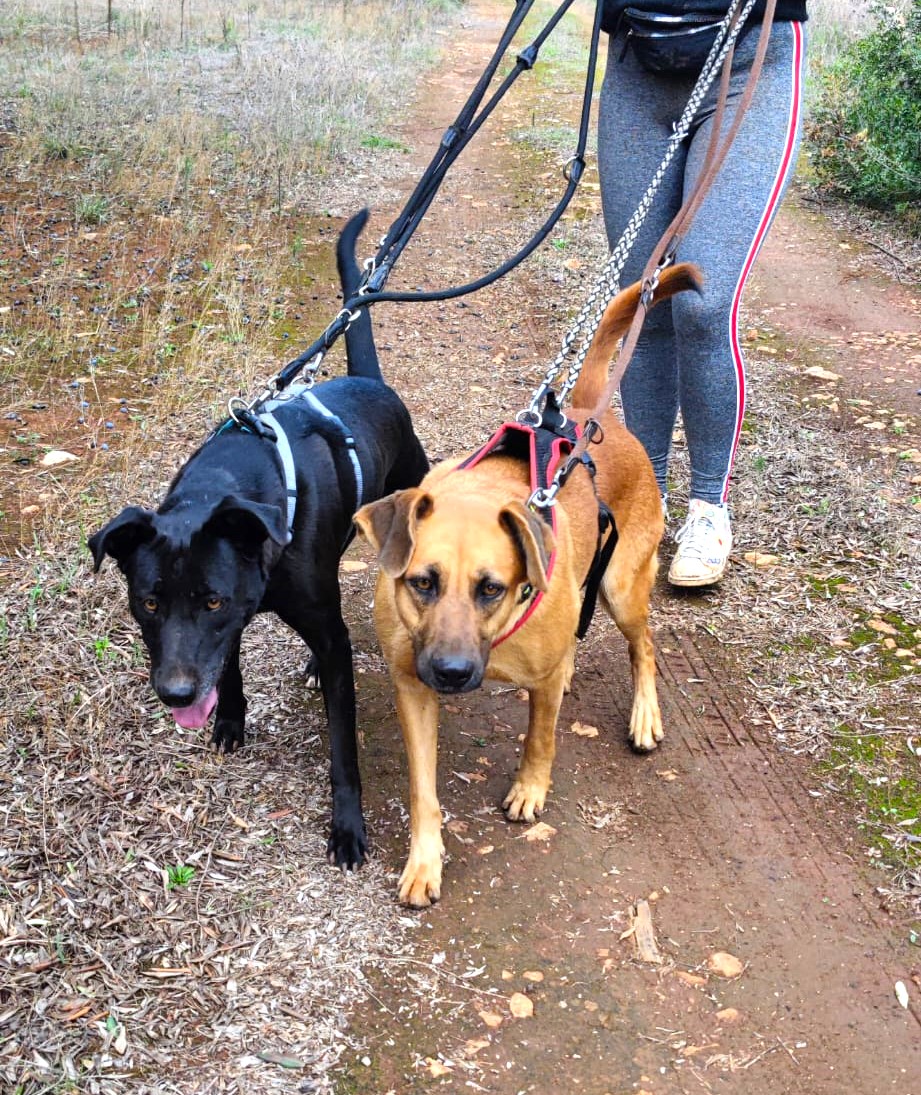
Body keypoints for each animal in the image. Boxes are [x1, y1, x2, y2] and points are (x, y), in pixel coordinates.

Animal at [89, 209, 428, 870]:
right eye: (148, 602)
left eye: (212, 599)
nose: (175, 695)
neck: (228, 486)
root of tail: (371, 383)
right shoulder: (229, 626)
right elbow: (229, 665)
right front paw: (229, 720)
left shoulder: (291, 623)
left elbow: (342, 746)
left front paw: (347, 827)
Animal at [354, 264, 700, 905]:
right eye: (422, 583)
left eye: (492, 587)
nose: (452, 673)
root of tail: (589, 416)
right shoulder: (411, 686)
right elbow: (422, 790)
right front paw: (424, 861)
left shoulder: (541, 679)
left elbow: (540, 738)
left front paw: (530, 789)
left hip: (621, 589)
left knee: (644, 647)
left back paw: (644, 715)